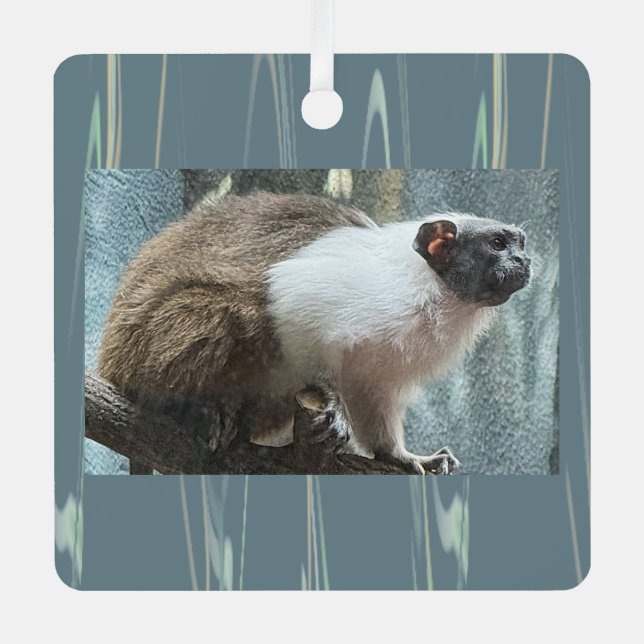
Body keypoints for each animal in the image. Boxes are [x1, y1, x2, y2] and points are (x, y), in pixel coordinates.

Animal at [97, 191, 531, 474]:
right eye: (497, 244)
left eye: (521, 243)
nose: (525, 261)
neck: (432, 287)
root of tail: (111, 367)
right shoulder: (371, 290)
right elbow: (293, 305)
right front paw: (331, 400)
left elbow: (374, 390)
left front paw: (397, 455)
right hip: (139, 354)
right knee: (231, 307)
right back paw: (188, 408)